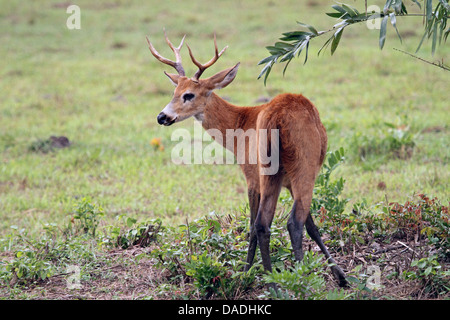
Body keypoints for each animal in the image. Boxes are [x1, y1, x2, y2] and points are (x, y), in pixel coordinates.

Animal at [148, 31, 348, 288]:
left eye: (188, 94)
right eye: (173, 92)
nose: (162, 116)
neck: (241, 124)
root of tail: (276, 118)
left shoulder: (259, 176)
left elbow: (301, 225)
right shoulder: (258, 176)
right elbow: (307, 225)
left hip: (280, 171)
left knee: (268, 224)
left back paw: (279, 281)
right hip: (297, 167)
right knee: (284, 222)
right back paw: (290, 281)